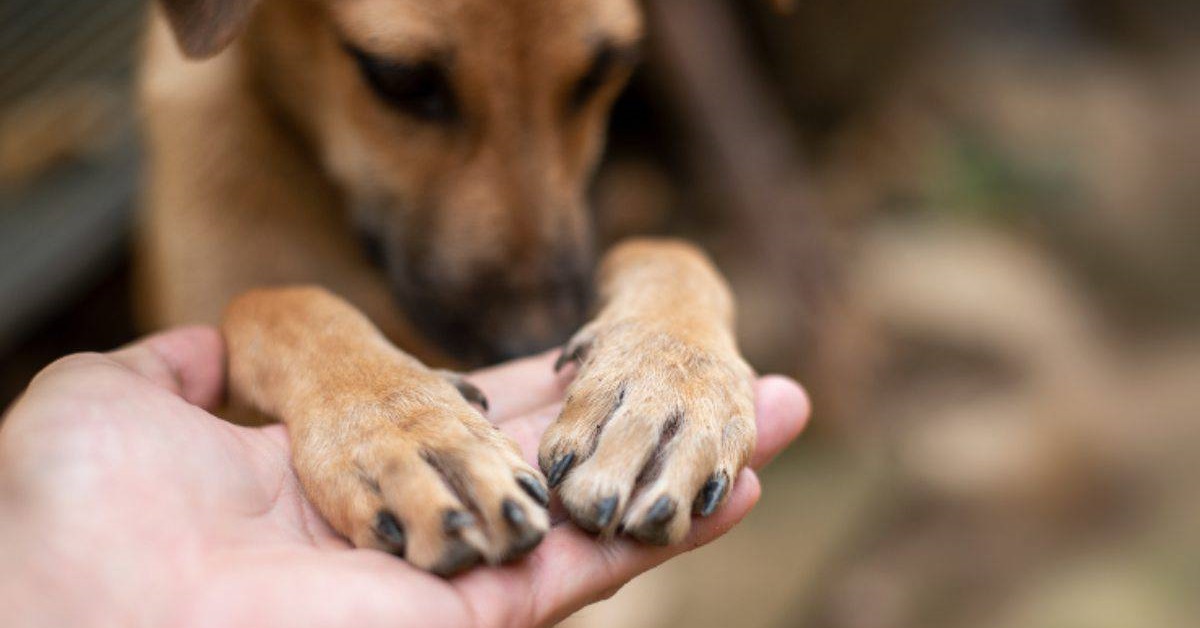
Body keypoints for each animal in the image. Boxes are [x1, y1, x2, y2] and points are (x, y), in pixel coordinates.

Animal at [140, 0, 753, 581]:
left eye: (604, 70)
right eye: (400, 80)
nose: (535, 345)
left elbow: (669, 250)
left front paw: (667, 380)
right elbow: (277, 300)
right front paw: (407, 429)